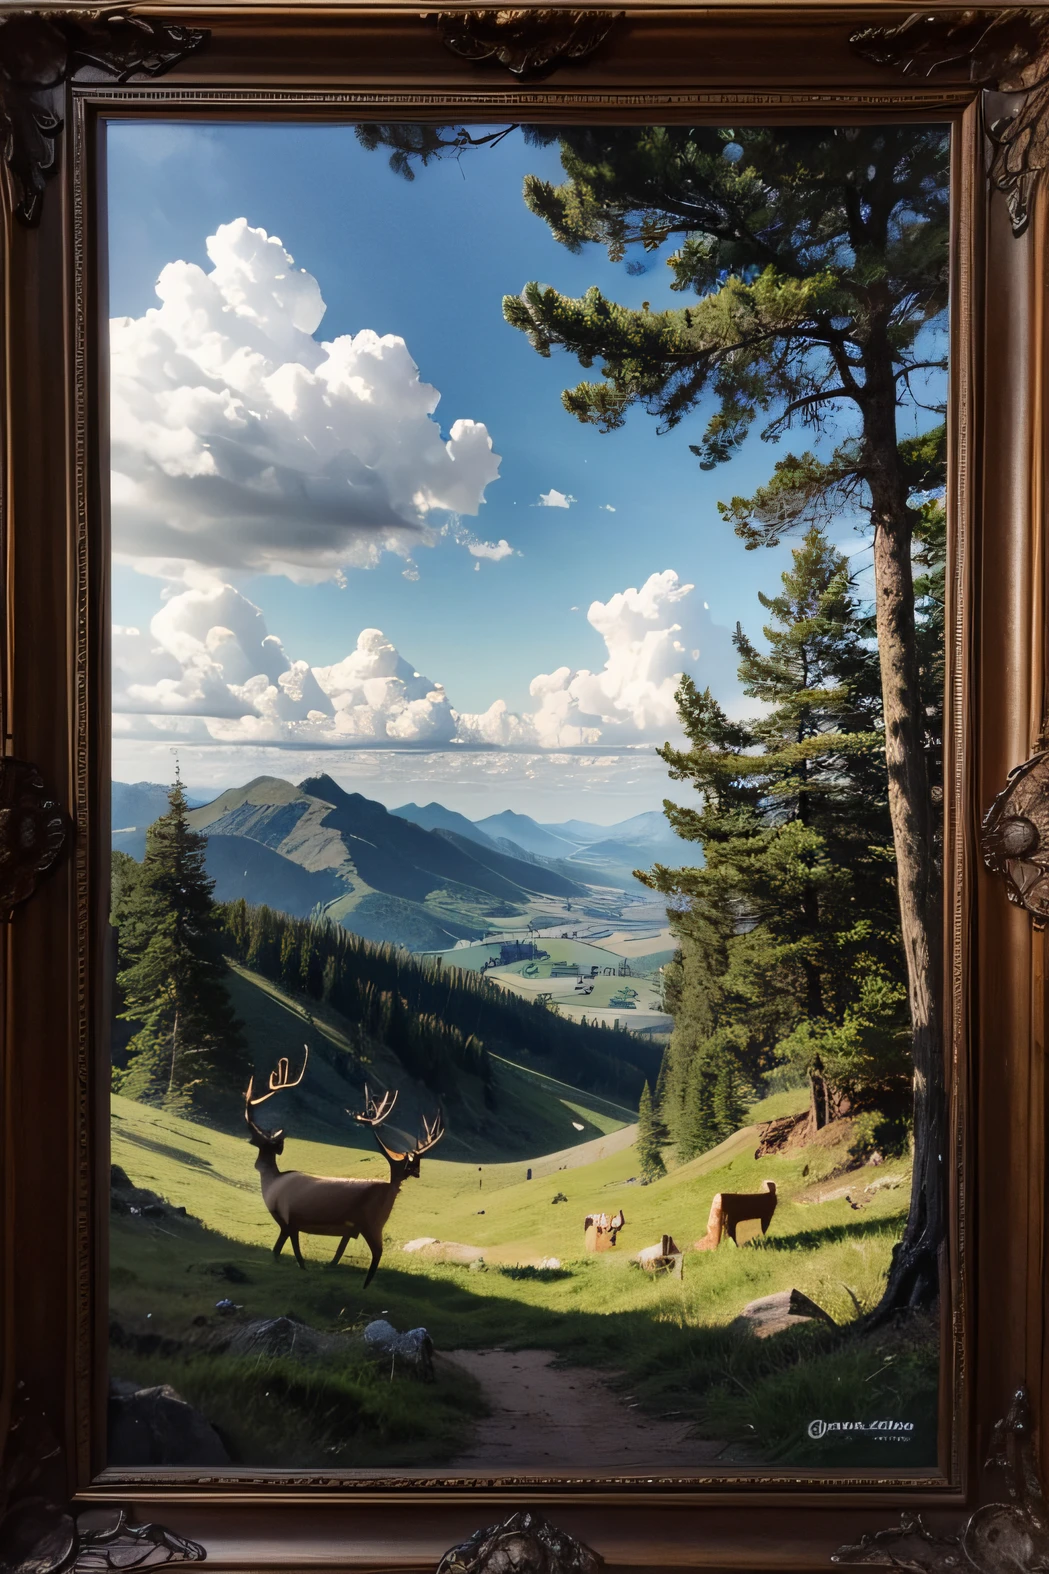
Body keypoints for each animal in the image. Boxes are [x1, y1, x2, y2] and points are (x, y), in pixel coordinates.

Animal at [244, 1045, 441, 1290]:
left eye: (260, 1139)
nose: (250, 1137)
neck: (272, 1183)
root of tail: (392, 1186)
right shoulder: (292, 1224)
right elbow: (284, 1250)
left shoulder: (288, 1219)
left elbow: (283, 1251)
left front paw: (300, 1267)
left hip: (372, 1222)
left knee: (378, 1252)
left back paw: (364, 1286)